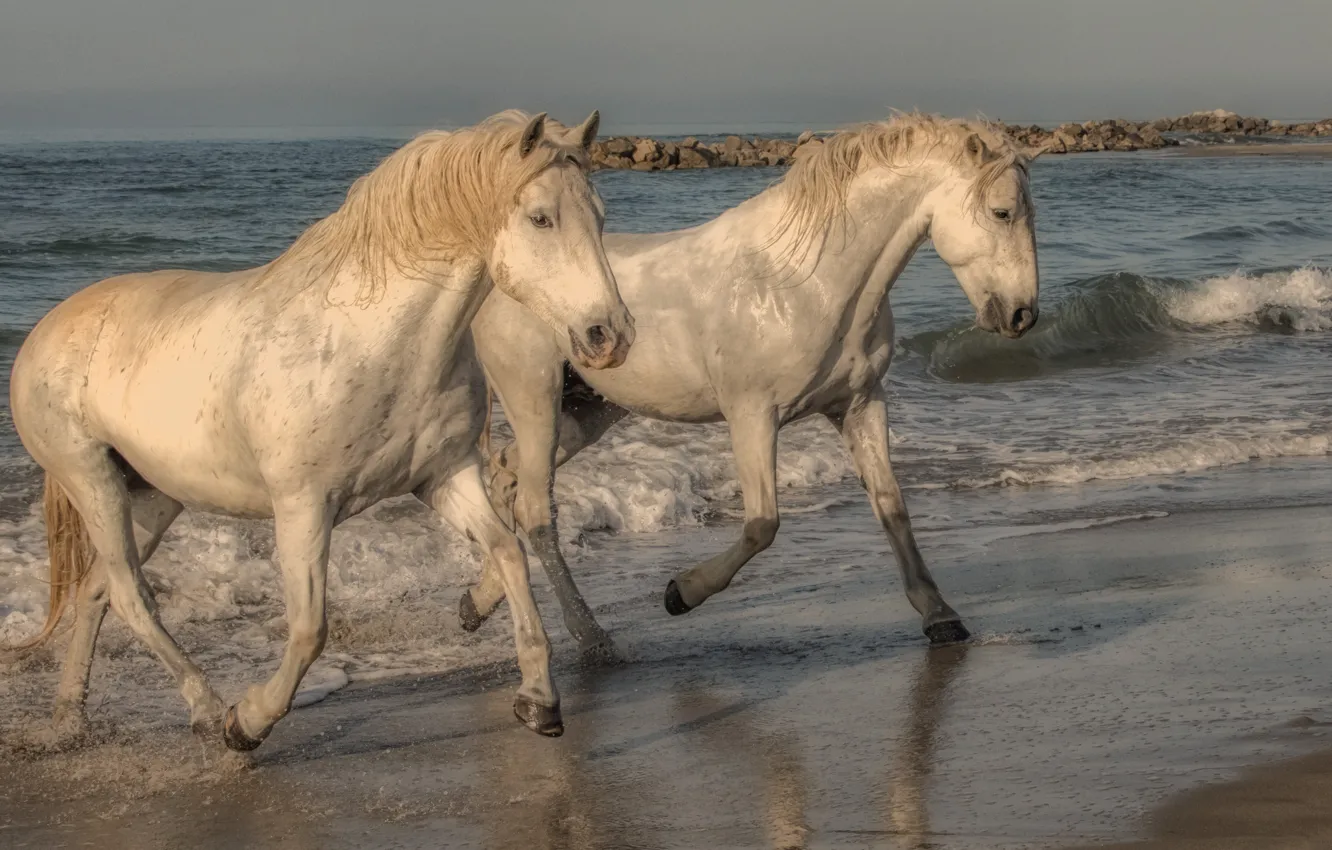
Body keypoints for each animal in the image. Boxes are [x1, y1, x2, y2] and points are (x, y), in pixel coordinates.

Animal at [6, 108, 635, 752]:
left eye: (600, 215)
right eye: (541, 218)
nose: (609, 336)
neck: (371, 343)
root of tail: (46, 329)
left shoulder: (446, 477)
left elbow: (508, 554)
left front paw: (538, 699)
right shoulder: (302, 507)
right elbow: (310, 628)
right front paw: (247, 722)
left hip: (154, 495)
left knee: (97, 591)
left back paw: (70, 718)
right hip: (92, 481)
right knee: (132, 596)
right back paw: (206, 710)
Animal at [464, 114, 1042, 655]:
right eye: (1002, 212)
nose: (1022, 315)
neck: (805, 281)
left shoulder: (860, 405)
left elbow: (891, 505)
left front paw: (940, 616)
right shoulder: (753, 417)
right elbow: (763, 524)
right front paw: (680, 593)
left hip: (586, 414)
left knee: (509, 479)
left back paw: (476, 602)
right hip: (535, 401)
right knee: (536, 508)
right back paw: (590, 638)